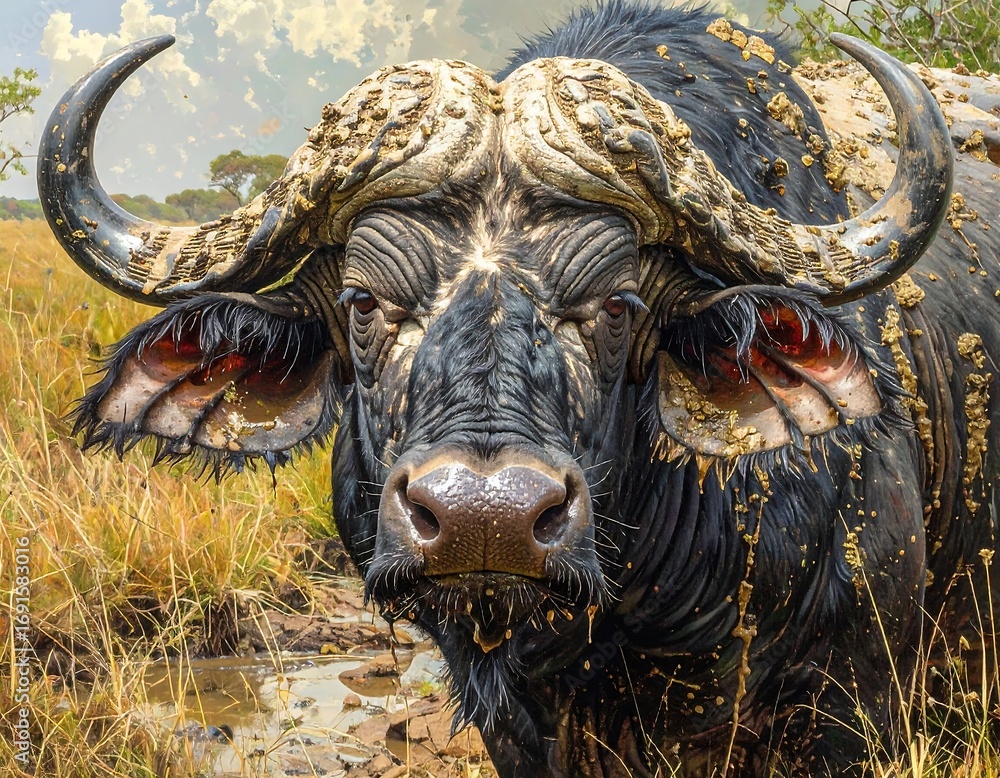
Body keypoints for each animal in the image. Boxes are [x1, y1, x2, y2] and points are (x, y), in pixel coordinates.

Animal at [37, 2, 999, 776]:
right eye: (361, 302)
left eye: (618, 305)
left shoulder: (853, 702)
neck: (634, 620)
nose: (483, 520)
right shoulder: (516, 723)